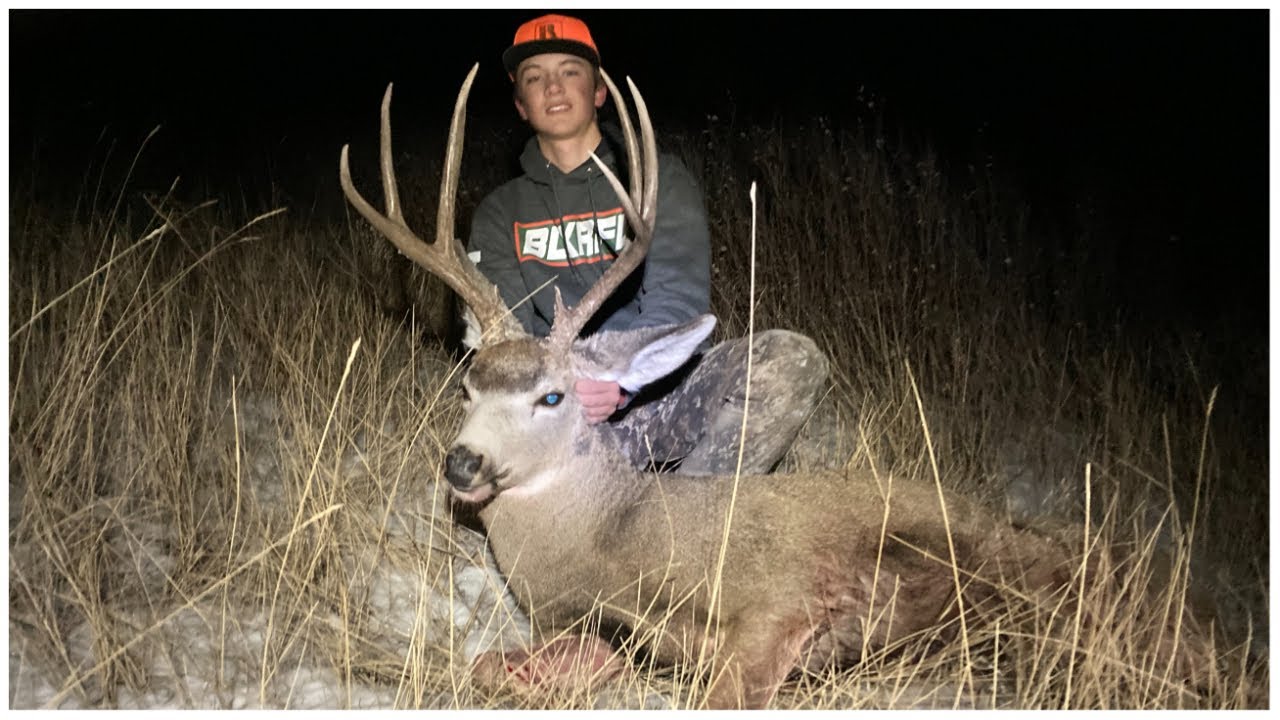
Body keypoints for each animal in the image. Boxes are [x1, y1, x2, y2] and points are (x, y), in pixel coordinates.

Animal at [338, 66, 1216, 709]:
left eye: (552, 396)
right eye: (467, 388)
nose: (463, 465)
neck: (607, 541)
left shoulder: (776, 600)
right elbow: (499, 662)